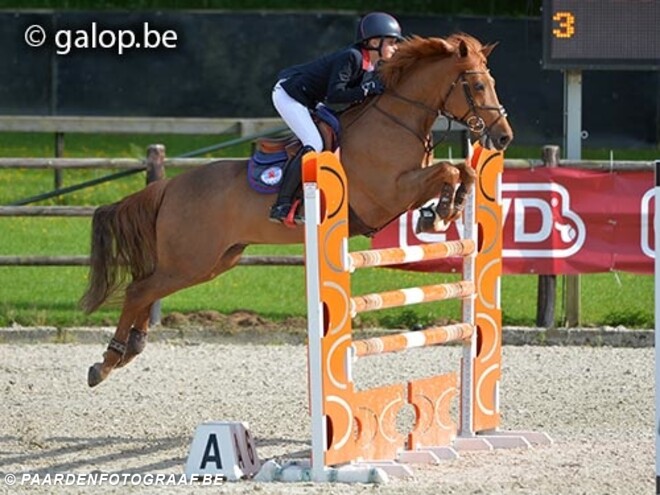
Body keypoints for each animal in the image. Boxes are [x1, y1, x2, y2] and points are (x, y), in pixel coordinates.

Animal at [80, 33, 513, 387]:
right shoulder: (387, 195)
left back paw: (130, 348)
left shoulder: (407, 186)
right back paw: (106, 362)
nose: (504, 137)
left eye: (493, 83)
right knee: (139, 289)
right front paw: (442, 209)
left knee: (147, 288)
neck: (396, 122)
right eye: (477, 85)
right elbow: (446, 170)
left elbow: (462, 170)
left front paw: (445, 209)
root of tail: (169, 186)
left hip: (211, 262)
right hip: (191, 259)